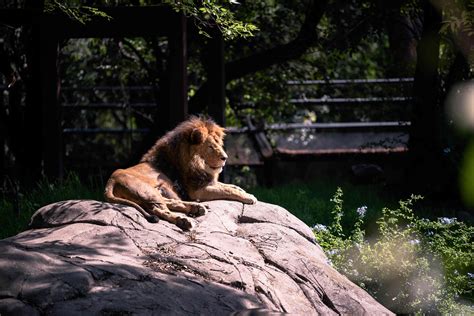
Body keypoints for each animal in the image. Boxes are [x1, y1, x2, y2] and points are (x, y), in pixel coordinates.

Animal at [105, 116, 258, 230]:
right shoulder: (197, 191)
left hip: (154, 192)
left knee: (169, 202)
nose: (225, 158)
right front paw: (249, 196)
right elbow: (227, 190)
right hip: (146, 191)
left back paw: (197, 208)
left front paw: (242, 190)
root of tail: (111, 181)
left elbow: (228, 186)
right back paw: (184, 220)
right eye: (210, 147)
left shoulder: (205, 182)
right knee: (159, 210)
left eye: (219, 144)